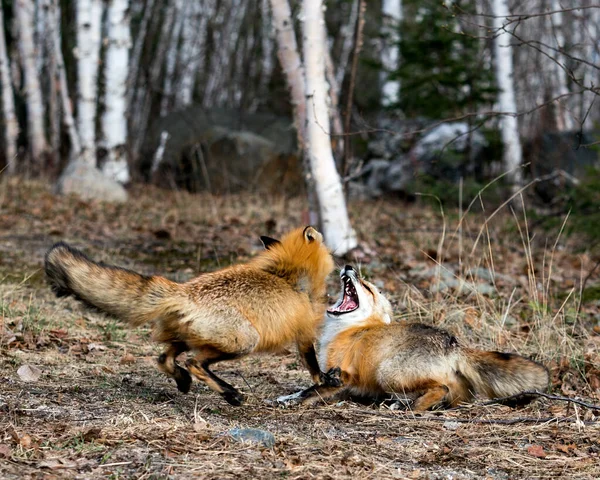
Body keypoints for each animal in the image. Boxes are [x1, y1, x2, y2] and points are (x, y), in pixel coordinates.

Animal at [45, 226, 338, 404]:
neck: (290, 275)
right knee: (195, 363)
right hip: (244, 342)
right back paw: (230, 394)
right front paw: (322, 380)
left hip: (187, 338)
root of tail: (182, 291)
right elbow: (312, 363)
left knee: (164, 358)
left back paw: (183, 381)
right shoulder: (304, 331)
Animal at [278, 264, 552, 410]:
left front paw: (291, 401)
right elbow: (306, 389)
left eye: (366, 287)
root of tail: (452, 342)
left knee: (439, 388)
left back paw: (412, 408)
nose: (349, 267)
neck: (349, 329)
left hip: (388, 373)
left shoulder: (342, 377)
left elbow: (310, 392)